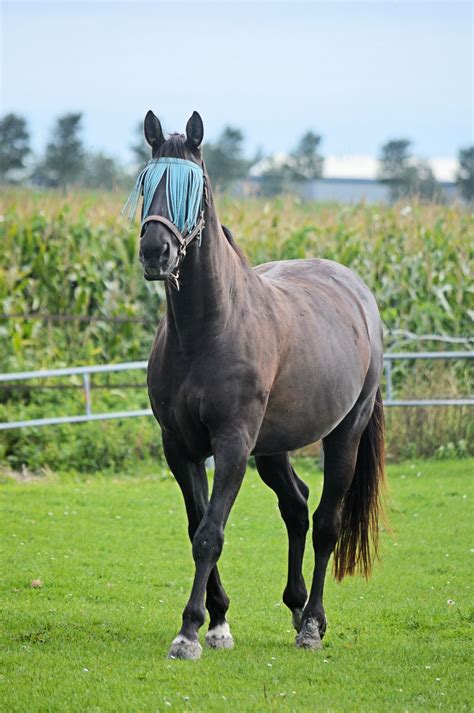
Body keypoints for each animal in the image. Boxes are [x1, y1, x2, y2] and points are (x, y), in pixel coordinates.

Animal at [127, 110, 385, 660]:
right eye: (145, 183)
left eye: (195, 188)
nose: (156, 252)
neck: (208, 328)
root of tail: (358, 293)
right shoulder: (179, 447)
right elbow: (196, 525)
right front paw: (218, 621)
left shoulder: (232, 444)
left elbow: (210, 533)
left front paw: (189, 632)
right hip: (273, 448)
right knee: (297, 506)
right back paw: (296, 606)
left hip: (344, 435)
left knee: (326, 523)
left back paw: (312, 624)